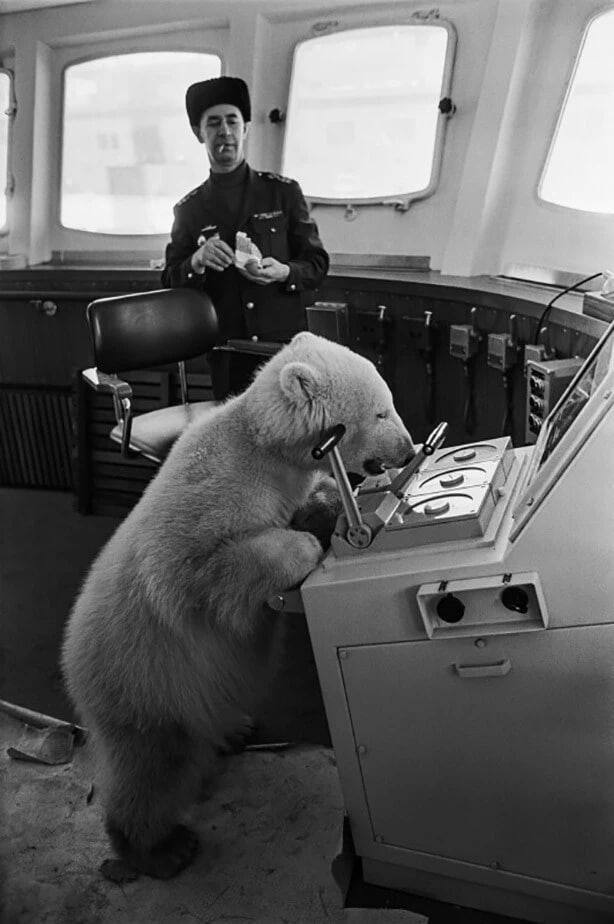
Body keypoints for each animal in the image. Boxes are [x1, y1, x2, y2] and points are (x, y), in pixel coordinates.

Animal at [61, 332, 414, 880]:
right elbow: (198, 568)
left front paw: (329, 509)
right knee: (151, 769)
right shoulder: (212, 492)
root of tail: (71, 665)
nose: (411, 448)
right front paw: (302, 547)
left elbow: (314, 499)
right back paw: (158, 848)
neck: (262, 444)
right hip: (143, 681)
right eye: (381, 411)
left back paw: (235, 730)